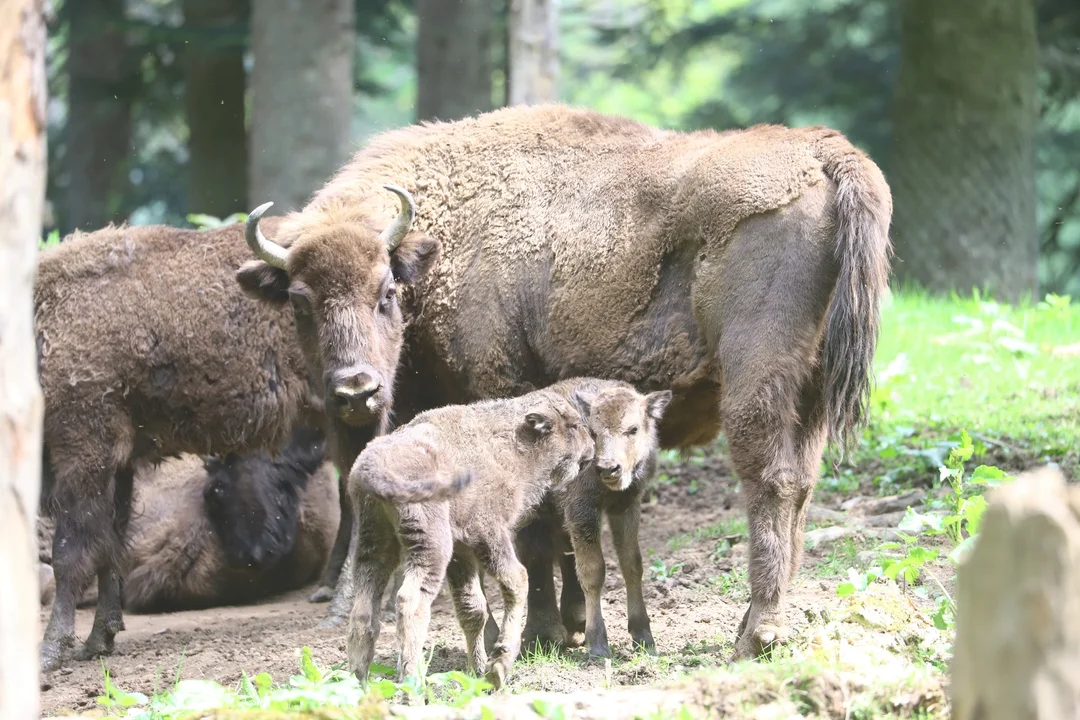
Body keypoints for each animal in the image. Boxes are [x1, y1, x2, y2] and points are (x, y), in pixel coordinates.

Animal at [34, 221, 349, 677]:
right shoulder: (119, 464)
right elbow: (111, 547)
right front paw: (98, 641)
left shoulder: (82, 453)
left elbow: (71, 554)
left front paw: (49, 652)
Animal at [243, 104, 894, 660]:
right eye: (299, 303)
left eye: (386, 292)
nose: (356, 390)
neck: (446, 237)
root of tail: (825, 153)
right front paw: (573, 624)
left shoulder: (502, 390)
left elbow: (534, 528)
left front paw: (544, 631)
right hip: (811, 394)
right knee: (801, 487)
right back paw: (754, 627)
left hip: (758, 381)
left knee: (772, 484)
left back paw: (757, 635)